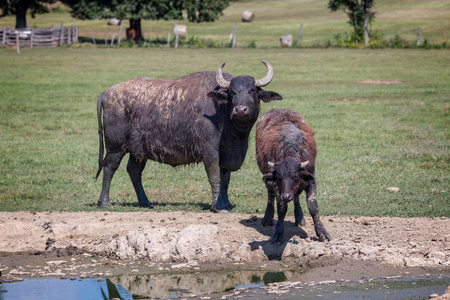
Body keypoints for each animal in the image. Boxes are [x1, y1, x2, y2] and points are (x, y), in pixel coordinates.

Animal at [96, 61, 284, 212]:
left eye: (252, 91)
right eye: (232, 92)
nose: (240, 110)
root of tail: (106, 93)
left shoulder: (227, 154)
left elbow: (225, 180)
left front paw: (226, 203)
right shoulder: (209, 152)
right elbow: (215, 178)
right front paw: (217, 206)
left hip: (139, 151)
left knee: (134, 171)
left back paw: (146, 202)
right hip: (115, 147)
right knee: (109, 167)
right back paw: (104, 202)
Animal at [256, 109, 330, 243]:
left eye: (295, 176)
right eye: (279, 177)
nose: (286, 196)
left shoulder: (311, 180)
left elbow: (313, 207)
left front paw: (322, 232)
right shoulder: (277, 186)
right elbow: (281, 209)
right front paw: (278, 233)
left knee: (296, 196)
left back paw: (299, 218)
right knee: (270, 196)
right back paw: (268, 218)